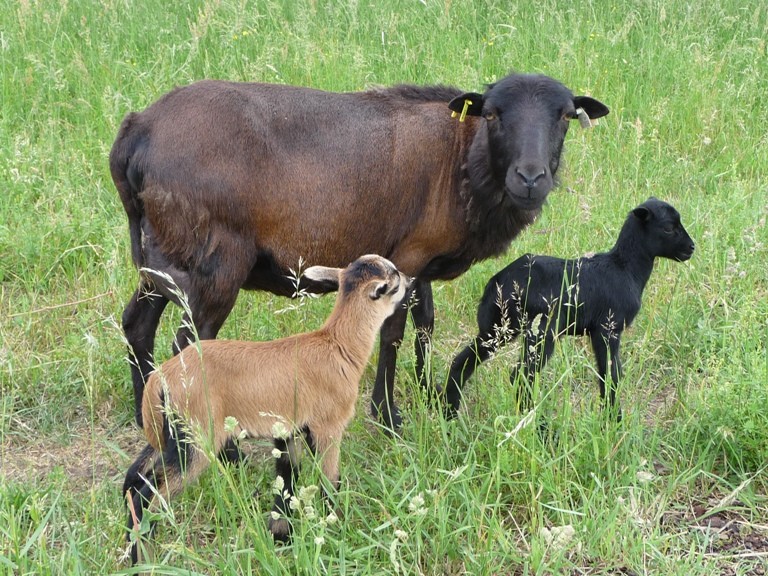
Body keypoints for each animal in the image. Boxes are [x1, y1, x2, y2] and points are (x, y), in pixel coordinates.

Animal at [111, 72, 608, 430]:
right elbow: (393, 332)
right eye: (492, 114)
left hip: (166, 256)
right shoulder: (408, 257)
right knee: (188, 346)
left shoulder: (420, 254)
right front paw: (388, 416)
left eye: (565, 116)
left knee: (137, 324)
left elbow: (426, 323)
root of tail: (139, 129)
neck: (461, 159)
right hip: (215, 262)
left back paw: (143, 415)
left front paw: (424, 391)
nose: (531, 178)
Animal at [444, 197, 696, 418]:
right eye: (668, 228)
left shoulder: (597, 331)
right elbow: (611, 375)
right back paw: (539, 427)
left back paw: (449, 412)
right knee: (522, 376)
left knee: (463, 361)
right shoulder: (608, 329)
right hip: (540, 331)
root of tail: (498, 283)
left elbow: (607, 374)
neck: (625, 268)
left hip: (497, 328)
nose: (691, 248)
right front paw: (613, 420)